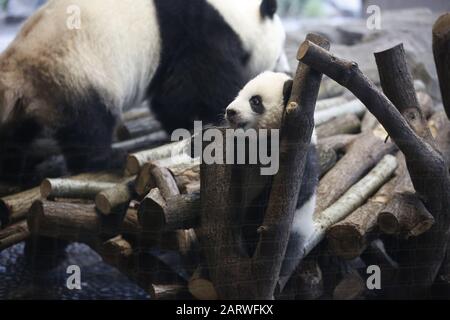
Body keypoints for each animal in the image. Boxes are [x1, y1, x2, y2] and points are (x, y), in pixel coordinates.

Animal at [0, 0, 288, 182]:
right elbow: (199, 84)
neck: (230, 11)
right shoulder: (196, 28)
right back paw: (108, 158)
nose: (285, 70)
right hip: (72, 70)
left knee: (16, 134)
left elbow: (170, 97)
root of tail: (16, 71)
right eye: (278, 53)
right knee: (88, 121)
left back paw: (18, 170)